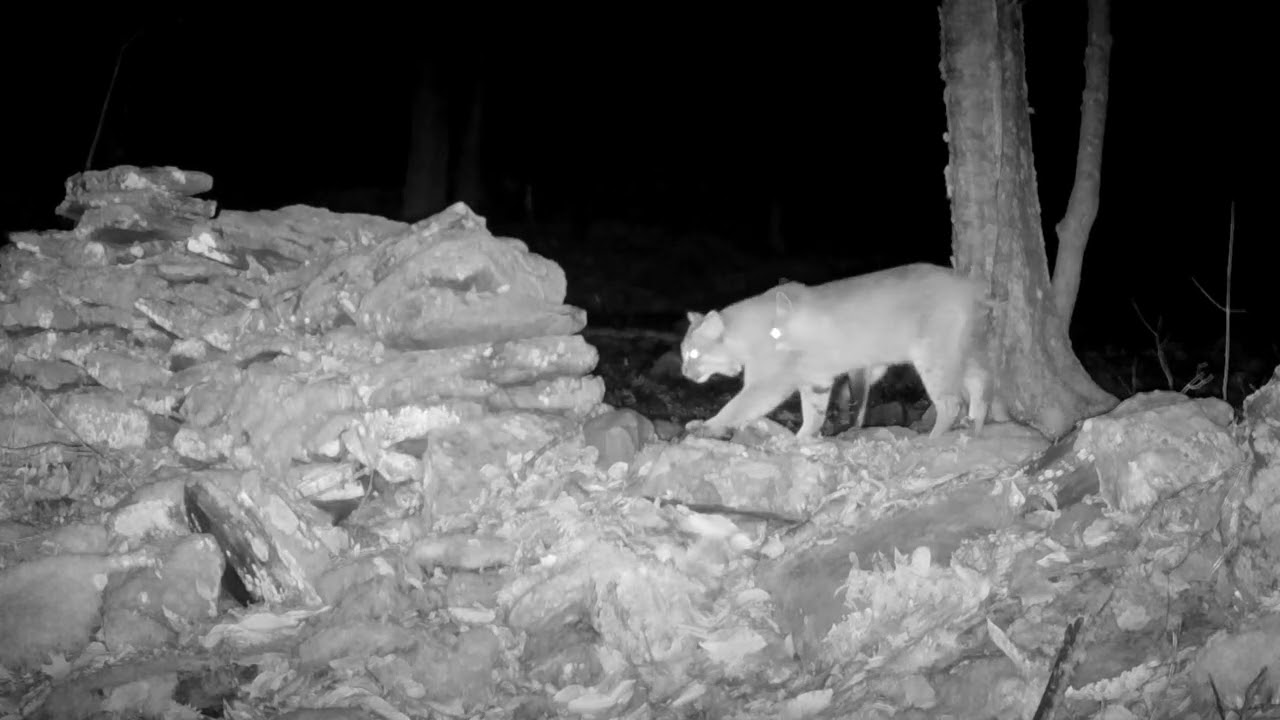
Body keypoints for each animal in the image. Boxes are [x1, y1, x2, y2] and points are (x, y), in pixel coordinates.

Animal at [680, 262, 1005, 441]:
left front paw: (706, 426)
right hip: (965, 349)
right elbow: (814, 412)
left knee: (951, 401)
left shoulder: (768, 383)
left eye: (693, 355)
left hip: (934, 358)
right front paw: (803, 438)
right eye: (684, 353)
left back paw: (932, 439)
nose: (684, 372)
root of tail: (971, 285)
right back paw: (975, 426)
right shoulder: (817, 379)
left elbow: (736, 406)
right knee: (982, 383)